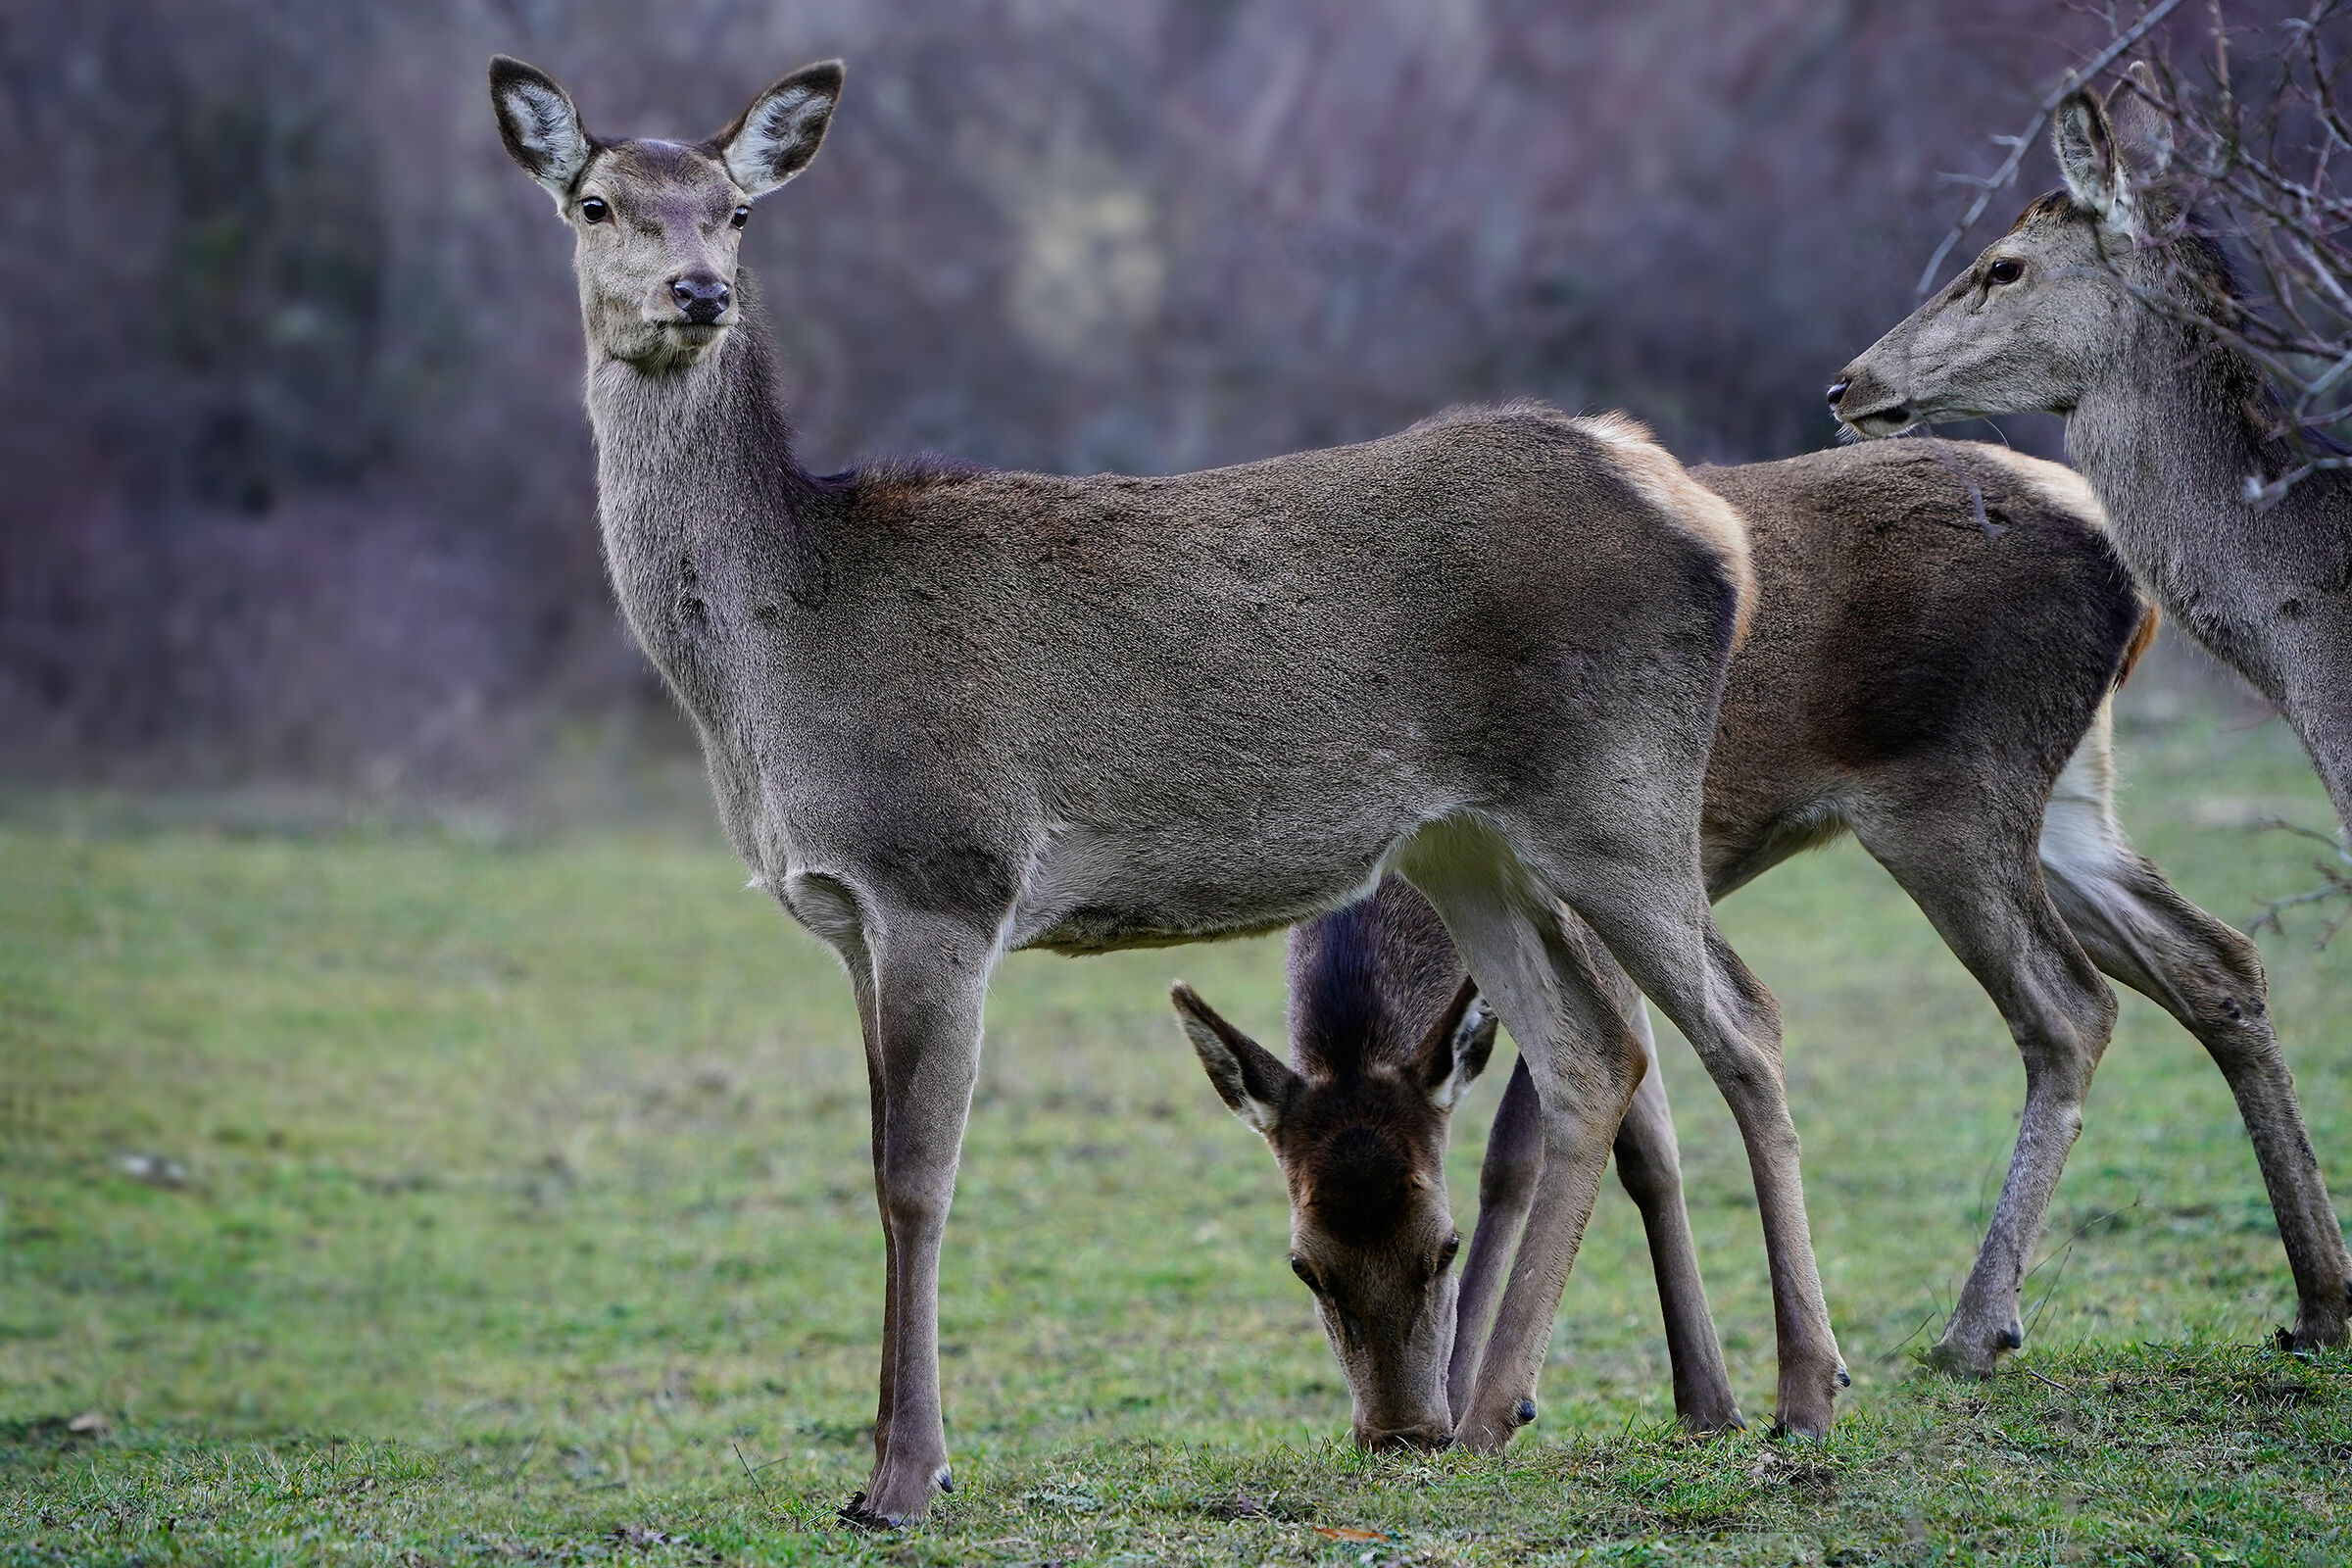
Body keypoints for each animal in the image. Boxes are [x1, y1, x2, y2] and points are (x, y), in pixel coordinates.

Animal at [488, 56, 1848, 1524]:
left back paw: (1805, 1392)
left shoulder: (943, 873)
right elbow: (872, 1163)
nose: (699, 292)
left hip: (1618, 793)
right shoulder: (848, 914)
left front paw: (905, 1477)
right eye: (596, 202)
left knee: (1744, 1024)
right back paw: (1494, 1416)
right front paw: (884, 1461)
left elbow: (917, 1179)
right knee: (1595, 1053)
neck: (773, 659)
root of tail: (1708, 526)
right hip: (1473, 841)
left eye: (735, 210)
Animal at [1175, 437, 2351, 1448]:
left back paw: (1973, 1331)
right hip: (2068, 797)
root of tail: (2130, 572)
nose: (1396, 1435)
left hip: (1956, 794)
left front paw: (1547, 1394)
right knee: (2217, 960)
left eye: (1440, 1247)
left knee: (2070, 1005)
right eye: (1305, 1266)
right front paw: (1692, 1398)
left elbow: (1551, 1143)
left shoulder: (1586, 900)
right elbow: (1636, 1134)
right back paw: (2320, 1302)